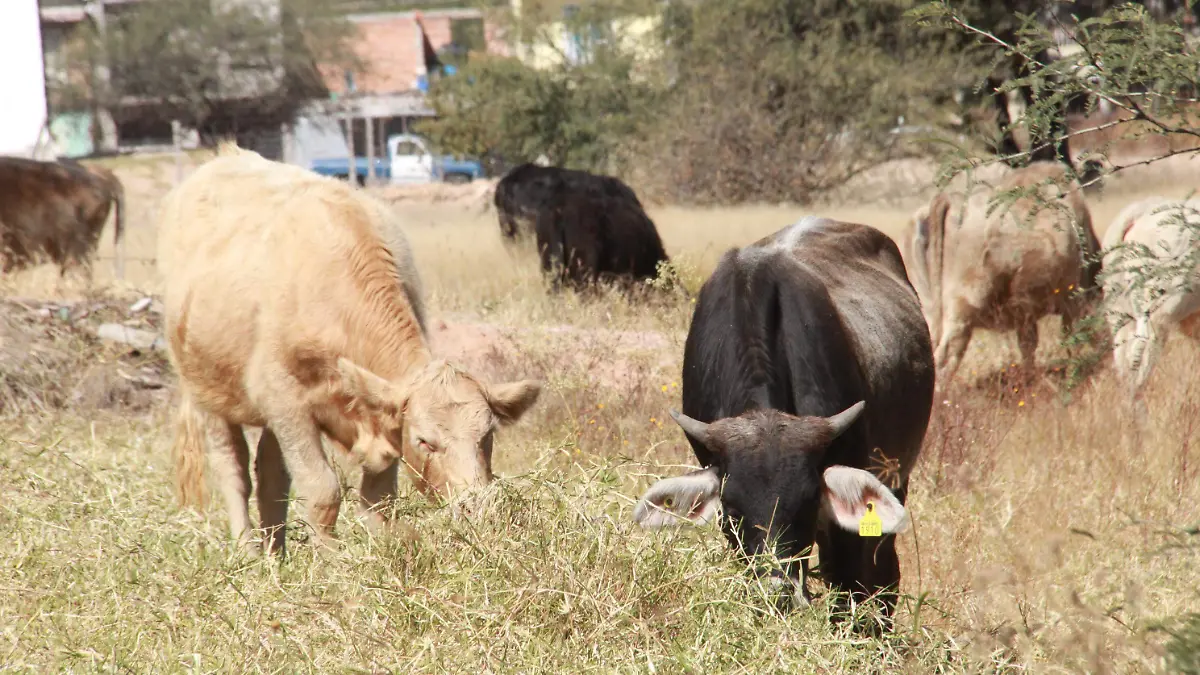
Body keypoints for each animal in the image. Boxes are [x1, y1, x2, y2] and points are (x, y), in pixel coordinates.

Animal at [158, 143, 542, 556]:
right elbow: (322, 489)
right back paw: (248, 550)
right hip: (207, 390)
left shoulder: (377, 409)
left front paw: (381, 552)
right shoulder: (285, 400)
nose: (477, 508)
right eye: (425, 440)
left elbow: (377, 498)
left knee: (271, 474)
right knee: (234, 469)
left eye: (487, 435)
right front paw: (330, 560)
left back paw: (276, 554)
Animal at [904, 161, 1101, 383]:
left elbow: (1028, 348)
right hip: (961, 315)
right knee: (944, 361)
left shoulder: (1026, 315)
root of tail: (948, 200)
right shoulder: (1072, 302)